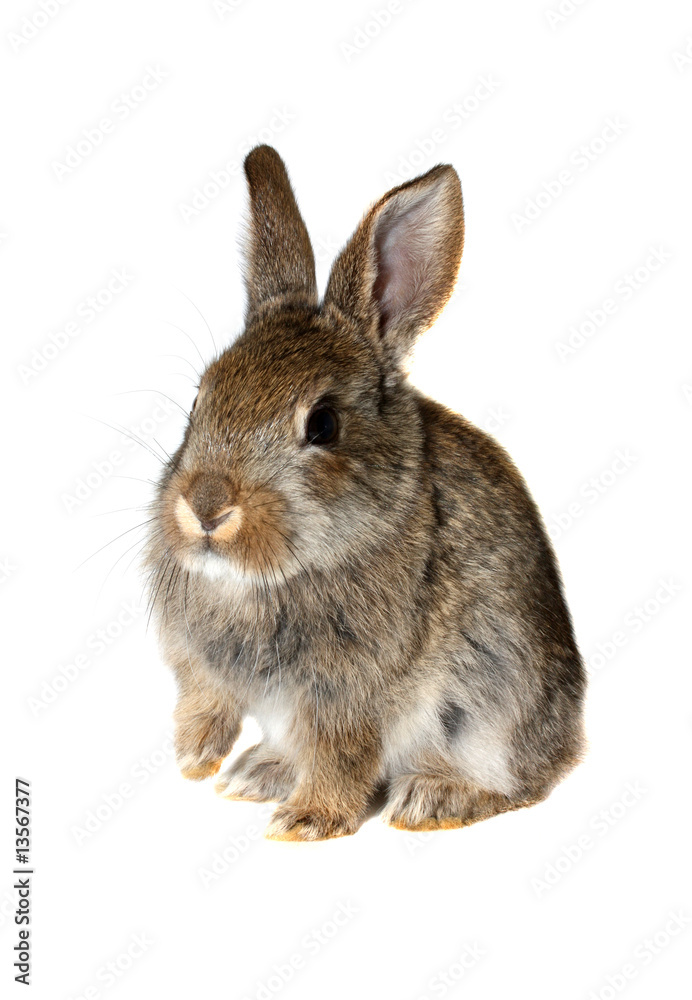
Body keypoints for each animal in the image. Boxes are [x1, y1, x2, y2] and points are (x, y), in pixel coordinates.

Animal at [144, 144, 586, 841]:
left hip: (495, 709)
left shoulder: (351, 693)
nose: (207, 506)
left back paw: (433, 798)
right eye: (198, 401)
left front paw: (307, 822)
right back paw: (258, 773)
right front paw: (197, 759)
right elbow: (206, 701)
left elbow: (341, 753)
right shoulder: (205, 671)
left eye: (323, 424)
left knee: (516, 784)